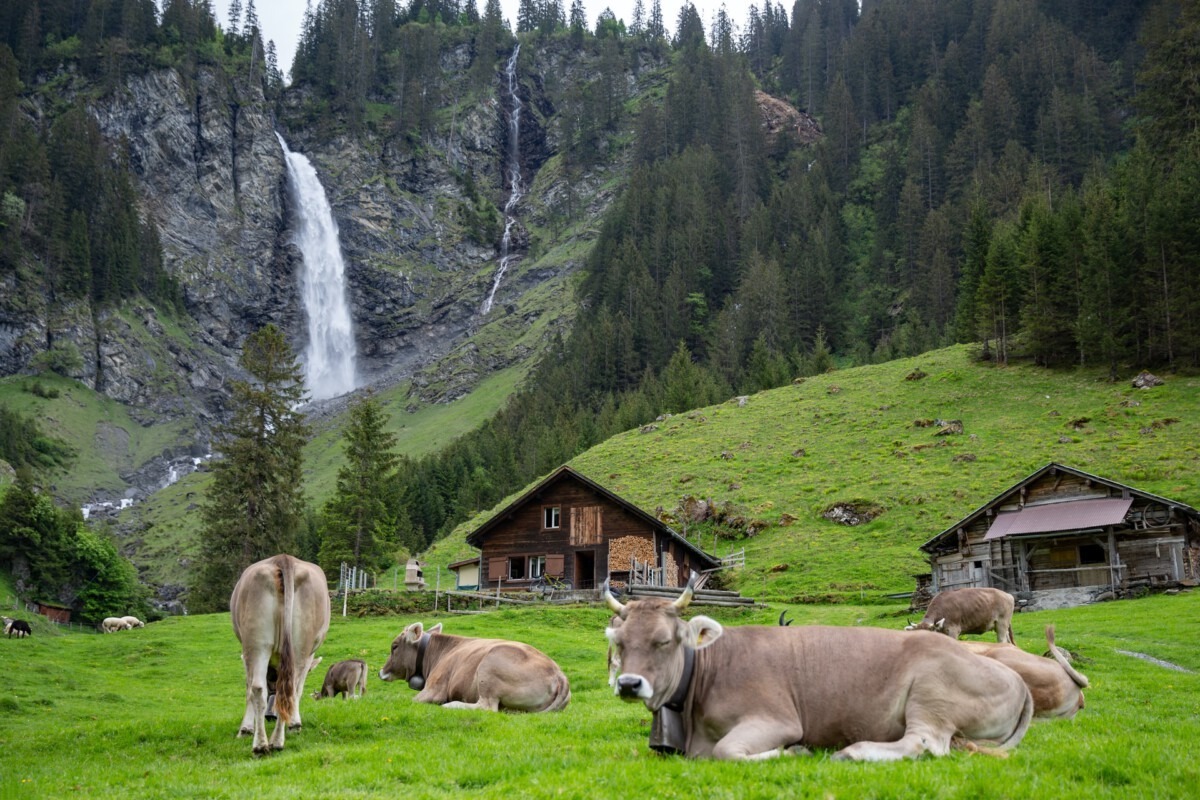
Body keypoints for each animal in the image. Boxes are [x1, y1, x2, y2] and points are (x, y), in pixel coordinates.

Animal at [230, 554, 330, 755]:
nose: (270, 716)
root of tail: (283, 559)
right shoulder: (309, 655)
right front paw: (295, 723)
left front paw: (246, 728)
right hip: (296, 646)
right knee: (286, 688)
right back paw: (274, 741)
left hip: (257, 643)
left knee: (259, 688)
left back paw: (263, 744)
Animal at [378, 621, 570, 712]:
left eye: (394, 646)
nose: (381, 672)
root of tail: (559, 674)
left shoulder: (434, 689)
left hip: (489, 668)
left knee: (487, 707)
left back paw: (452, 705)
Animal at [603, 578, 1033, 761]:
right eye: (619, 642)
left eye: (665, 640)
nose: (629, 684)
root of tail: (1018, 681)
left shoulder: (776, 719)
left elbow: (726, 752)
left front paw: (792, 752)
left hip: (931, 694)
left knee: (925, 743)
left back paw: (853, 752)